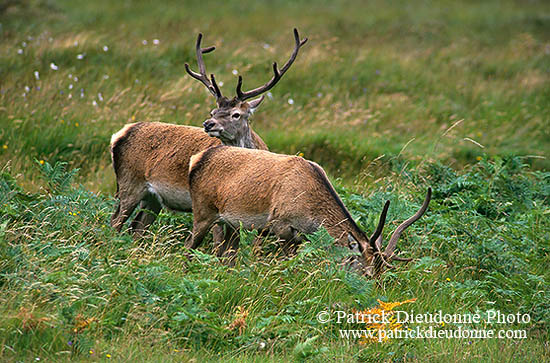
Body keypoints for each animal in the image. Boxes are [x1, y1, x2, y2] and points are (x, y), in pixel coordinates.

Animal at [111, 28, 310, 235]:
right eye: (213, 111)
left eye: (236, 114)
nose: (208, 124)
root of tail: (119, 134)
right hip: (129, 182)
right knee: (115, 221)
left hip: (152, 198)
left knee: (137, 227)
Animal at [188, 146, 434, 278]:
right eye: (367, 273)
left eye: (383, 273)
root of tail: (197, 158)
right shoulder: (279, 224)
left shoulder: (298, 237)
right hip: (202, 212)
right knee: (189, 246)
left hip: (229, 223)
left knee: (227, 255)